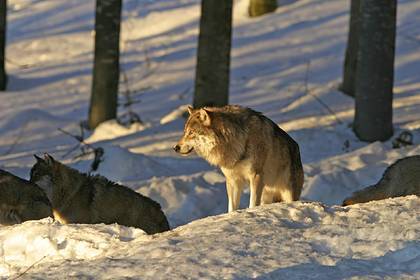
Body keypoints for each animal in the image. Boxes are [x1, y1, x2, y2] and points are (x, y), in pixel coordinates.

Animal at [172, 105, 304, 212]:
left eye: (191, 132)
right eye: (184, 132)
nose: (175, 148)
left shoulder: (255, 176)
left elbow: (252, 204)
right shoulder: (232, 180)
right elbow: (232, 207)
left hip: (288, 193)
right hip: (267, 193)